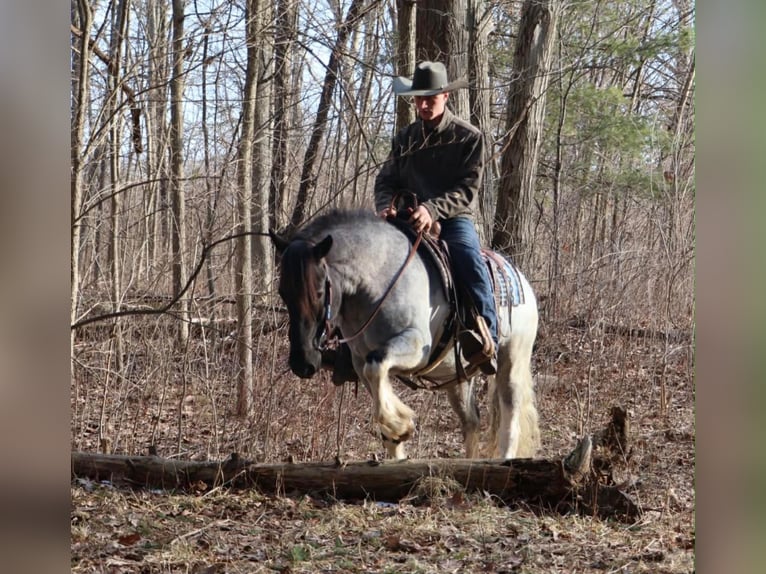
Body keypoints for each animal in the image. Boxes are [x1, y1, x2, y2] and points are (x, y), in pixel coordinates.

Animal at [270, 209, 540, 461]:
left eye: (318, 291)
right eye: (283, 292)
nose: (302, 363)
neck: (377, 282)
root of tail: (521, 279)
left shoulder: (415, 345)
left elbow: (377, 366)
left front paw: (403, 424)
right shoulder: (359, 360)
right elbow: (378, 390)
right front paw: (397, 437)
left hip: (511, 361)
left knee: (510, 416)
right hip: (459, 377)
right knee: (471, 421)